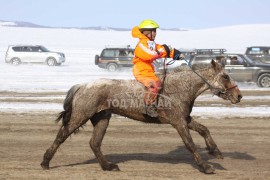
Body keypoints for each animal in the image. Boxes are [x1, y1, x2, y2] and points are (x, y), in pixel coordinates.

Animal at [40, 60, 243, 173]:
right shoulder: (178, 122)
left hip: (102, 118)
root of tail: (82, 85)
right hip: (79, 116)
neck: (180, 87)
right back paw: (45, 162)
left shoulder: (185, 119)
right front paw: (206, 167)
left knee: (94, 143)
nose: (239, 96)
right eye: (225, 76)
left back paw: (108, 166)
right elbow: (190, 144)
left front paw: (215, 151)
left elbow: (204, 129)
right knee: (61, 136)